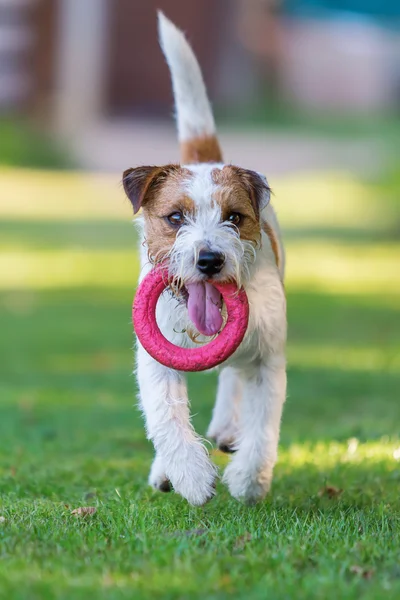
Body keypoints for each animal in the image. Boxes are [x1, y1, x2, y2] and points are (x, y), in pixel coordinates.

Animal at [122, 11, 288, 504]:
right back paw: (167, 471)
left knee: (232, 380)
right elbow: (166, 418)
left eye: (234, 217)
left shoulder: (268, 358)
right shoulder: (156, 362)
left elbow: (262, 424)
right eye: (175, 217)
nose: (210, 260)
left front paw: (249, 481)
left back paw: (227, 430)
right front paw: (192, 478)